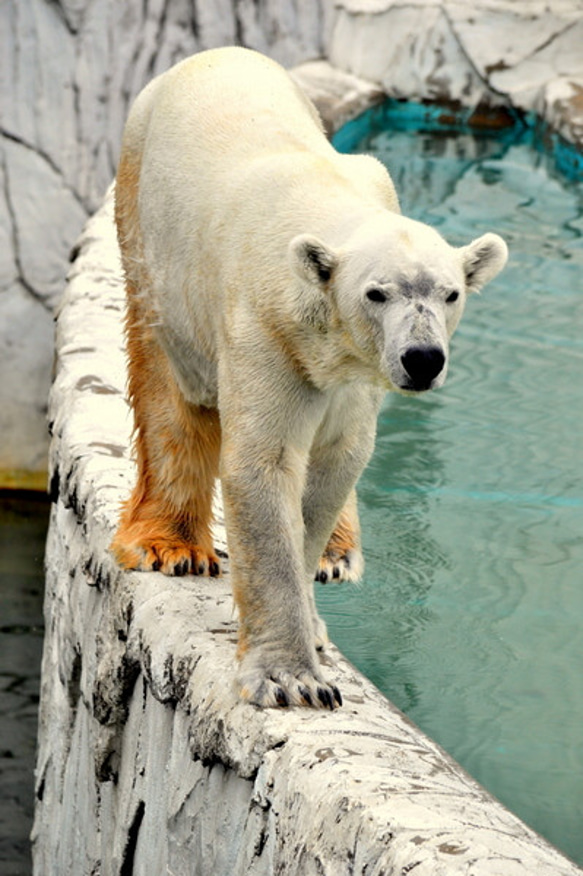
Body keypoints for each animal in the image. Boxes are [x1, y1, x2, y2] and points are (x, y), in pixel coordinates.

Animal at [112, 44, 508, 708]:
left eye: (450, 293)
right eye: (376, 293)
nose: (422, 358)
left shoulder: (355, 373)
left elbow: (336, 462)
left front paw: (313, 617)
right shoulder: (265, 328)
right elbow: (264, 465)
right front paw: (293, 678)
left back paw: (339, 555)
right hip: (144, 221)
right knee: (170, 387)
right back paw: (169, 544)